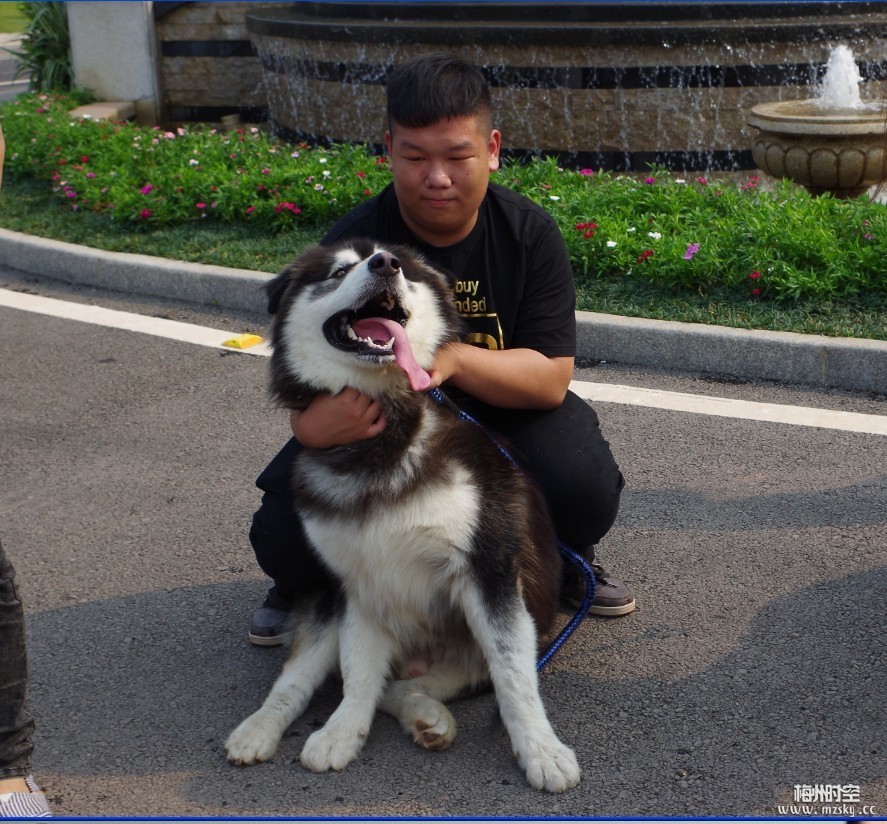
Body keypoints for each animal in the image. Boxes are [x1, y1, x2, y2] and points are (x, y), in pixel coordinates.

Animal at [225, 238, 580, 792]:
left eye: (405, 272)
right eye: (340, 271)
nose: (385, 264)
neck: (384, 443)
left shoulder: (491, 571)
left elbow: (515, 678)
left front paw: (541, 750)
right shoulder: (357, 583)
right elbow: (357, 674)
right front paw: (341, 732)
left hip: (466, 648)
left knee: (408, 685)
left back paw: (425, 714)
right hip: (326, 603)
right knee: (301, 678)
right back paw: (259, 729)